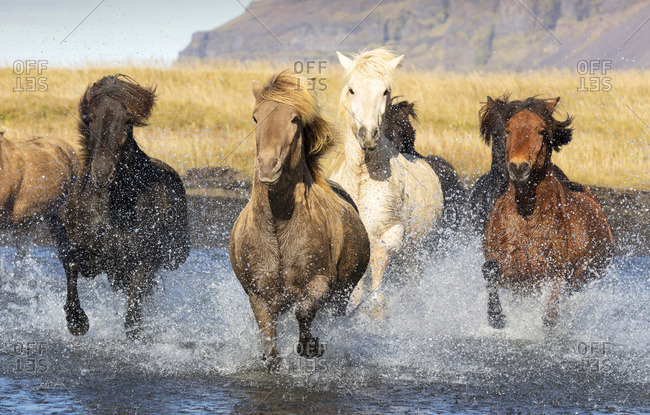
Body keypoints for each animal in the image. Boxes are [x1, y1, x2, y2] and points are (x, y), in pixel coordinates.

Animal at [61, 74, 190, 338]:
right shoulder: (91, 256)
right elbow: (70, 262)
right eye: (90, 118)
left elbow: (137, 292)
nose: (102, 173)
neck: (113, 207)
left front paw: (135, 330)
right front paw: (77, 321)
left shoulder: (145, 258)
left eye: (128, 121)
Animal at [230, 70, 369, 370]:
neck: (278, 228)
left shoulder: (320, 282)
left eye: (295, 119)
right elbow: (270, 347)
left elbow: (304, 311)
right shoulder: (259, 297)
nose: (268, 167)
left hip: (341, 296)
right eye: (255, 118)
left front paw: (310, 347)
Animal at [329, 48, 443, 312]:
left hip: (414, 257)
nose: (368, 135)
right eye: (352, 89)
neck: (362, 179)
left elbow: (378, 263)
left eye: (384, 91)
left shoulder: (390, 234)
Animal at [481, 96, 613, 328]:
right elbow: (490, 271)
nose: (518, 168)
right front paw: (496, 318)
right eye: (507, 129)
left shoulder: (555, 274)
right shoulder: (511, 271)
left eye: (541, 130)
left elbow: (550, 310)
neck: (526, 217)